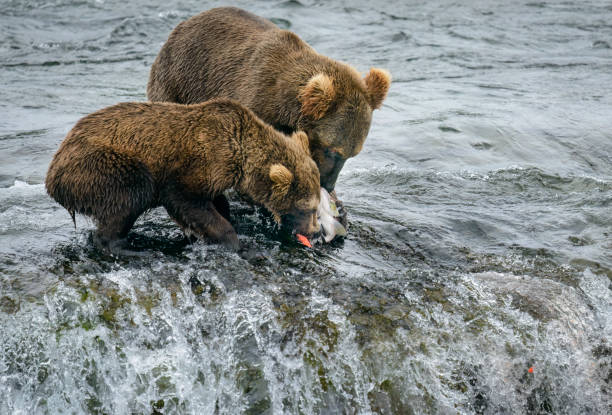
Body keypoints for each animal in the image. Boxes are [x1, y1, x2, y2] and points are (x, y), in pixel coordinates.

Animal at [146, 6, 390, 193]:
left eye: (352, 155)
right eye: (332, 150)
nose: (328, 185)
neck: (286, 105)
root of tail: (182, 25)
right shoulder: (254, 98)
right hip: (178, 80)